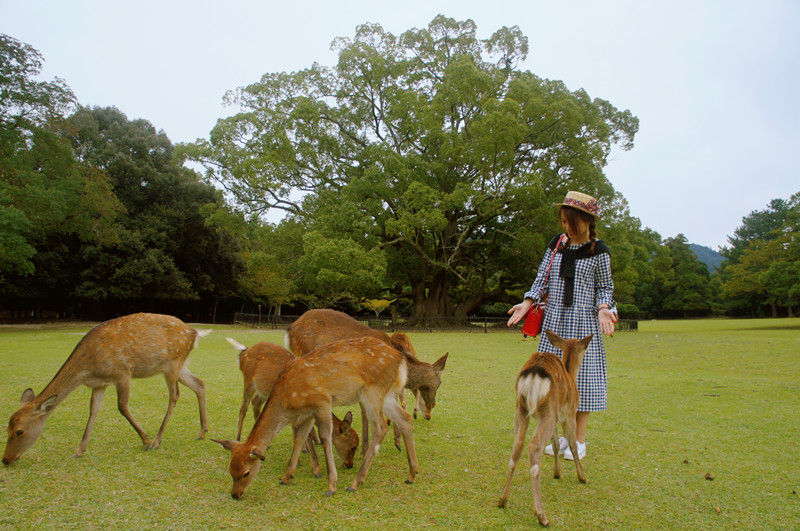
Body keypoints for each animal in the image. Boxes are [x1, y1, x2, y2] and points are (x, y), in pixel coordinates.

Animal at [0, 312, 211, 466]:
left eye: (19, 431)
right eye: (7, 427)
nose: (6, 459)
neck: (89, 368)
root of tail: (194, 332)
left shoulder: (122, 373)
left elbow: (122, 407)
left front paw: (145, 440)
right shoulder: (99, 384)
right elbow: (93, 410)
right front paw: (78, 450)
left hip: (172, 364)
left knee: (175, 395)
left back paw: (157, 441)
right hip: (179, 365)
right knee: (199, 383)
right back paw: (202, 432)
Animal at [227, 338, 360, 472]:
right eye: (353, 446)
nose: (350, 464)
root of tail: (244, 352)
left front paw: (306, 448)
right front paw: (302, 459)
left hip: (263, 391)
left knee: (256, 403)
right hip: (248, 381)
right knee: (243, 409)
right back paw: (237, 438)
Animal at [496, 330, 592, 524]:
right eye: (584, 348)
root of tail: (534, 372)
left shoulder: (554, 420)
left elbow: (555, 445)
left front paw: (557, 473)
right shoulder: (568, 414)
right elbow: (572, 445)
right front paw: (582, 477)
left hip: (521, 408)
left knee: (518, 445)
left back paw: (503, 499)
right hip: (549, 411)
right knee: (534, 447)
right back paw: (541, 515)